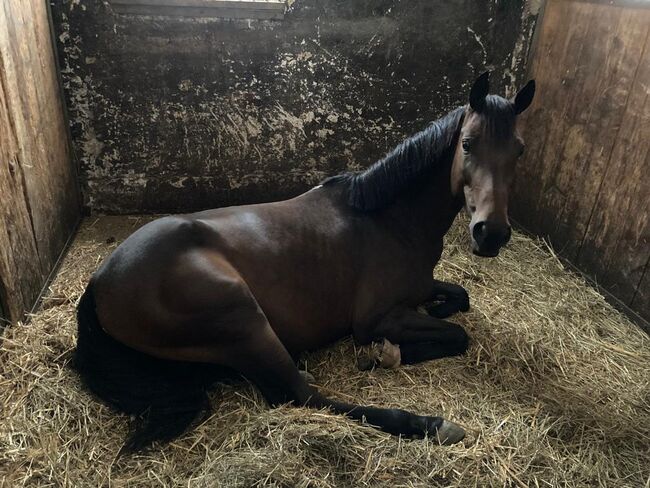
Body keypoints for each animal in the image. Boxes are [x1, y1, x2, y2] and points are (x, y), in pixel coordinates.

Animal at [73, 71, 536, 450]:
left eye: (519, 150)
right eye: (468, 144)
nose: (491, 233)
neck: (388, 218)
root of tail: (98, 283)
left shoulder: (420, 287)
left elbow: (460, 298)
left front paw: (433, 313)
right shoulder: (377, 318)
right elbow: (458, 335)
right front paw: (385, 354)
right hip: (243, 318)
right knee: (300, 396)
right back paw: (430, 425)